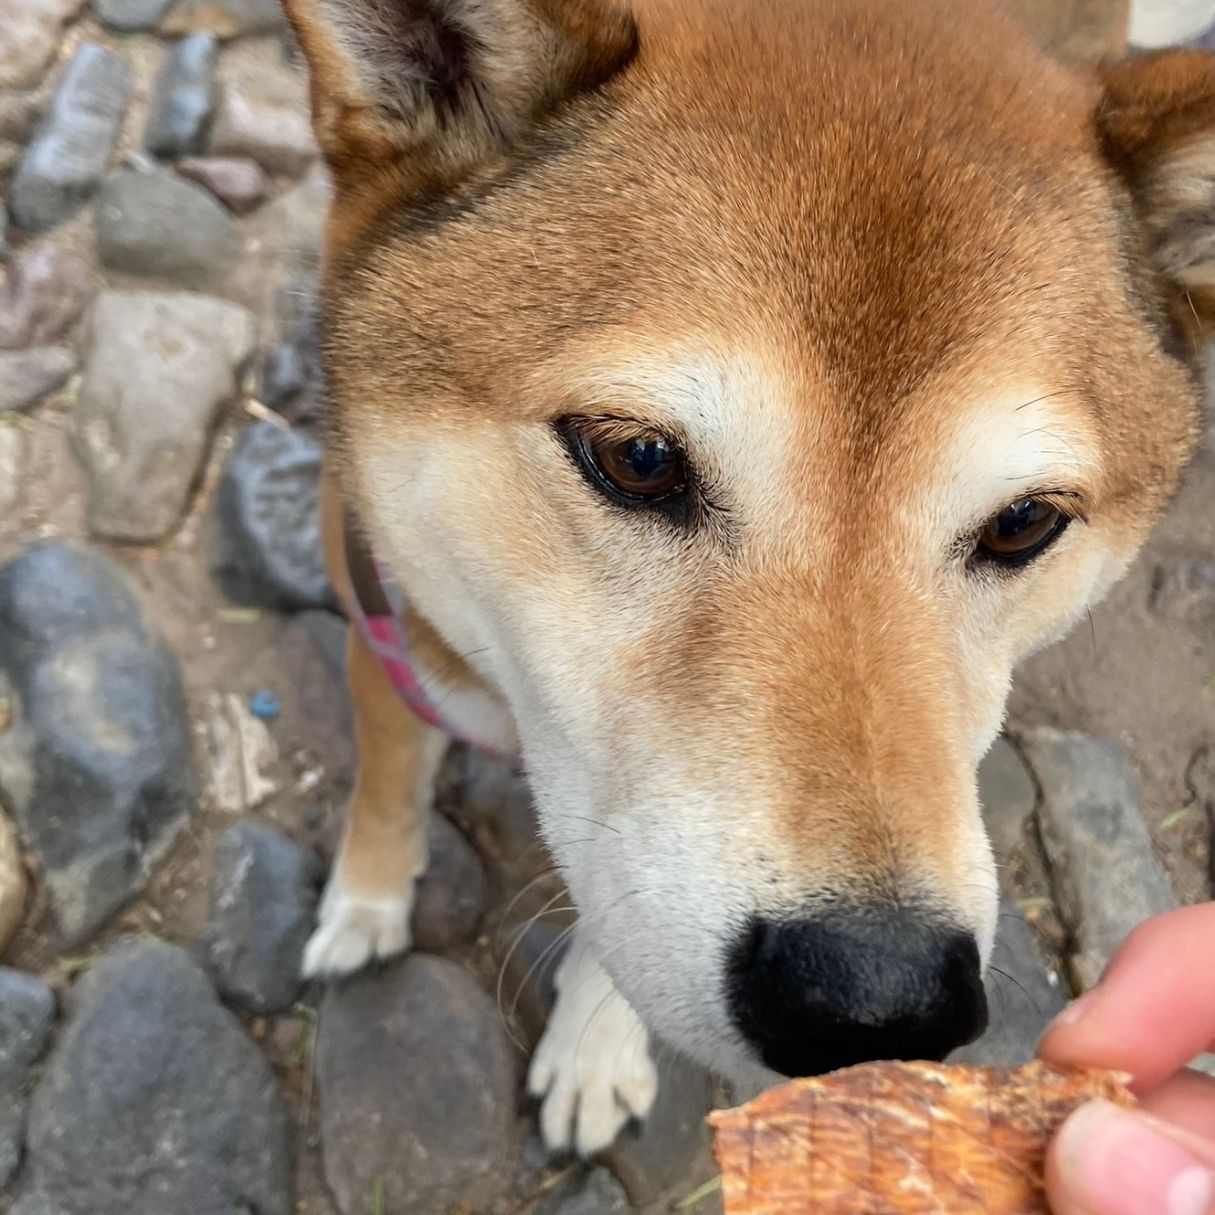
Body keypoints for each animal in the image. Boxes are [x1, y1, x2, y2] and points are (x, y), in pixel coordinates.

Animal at [284, 0, 1215, 1156]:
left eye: (1023, 522)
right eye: (637, 457)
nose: (877, 1002)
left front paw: (593, 1044)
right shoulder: (383, 614)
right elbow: (387, 786)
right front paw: (365, 903)